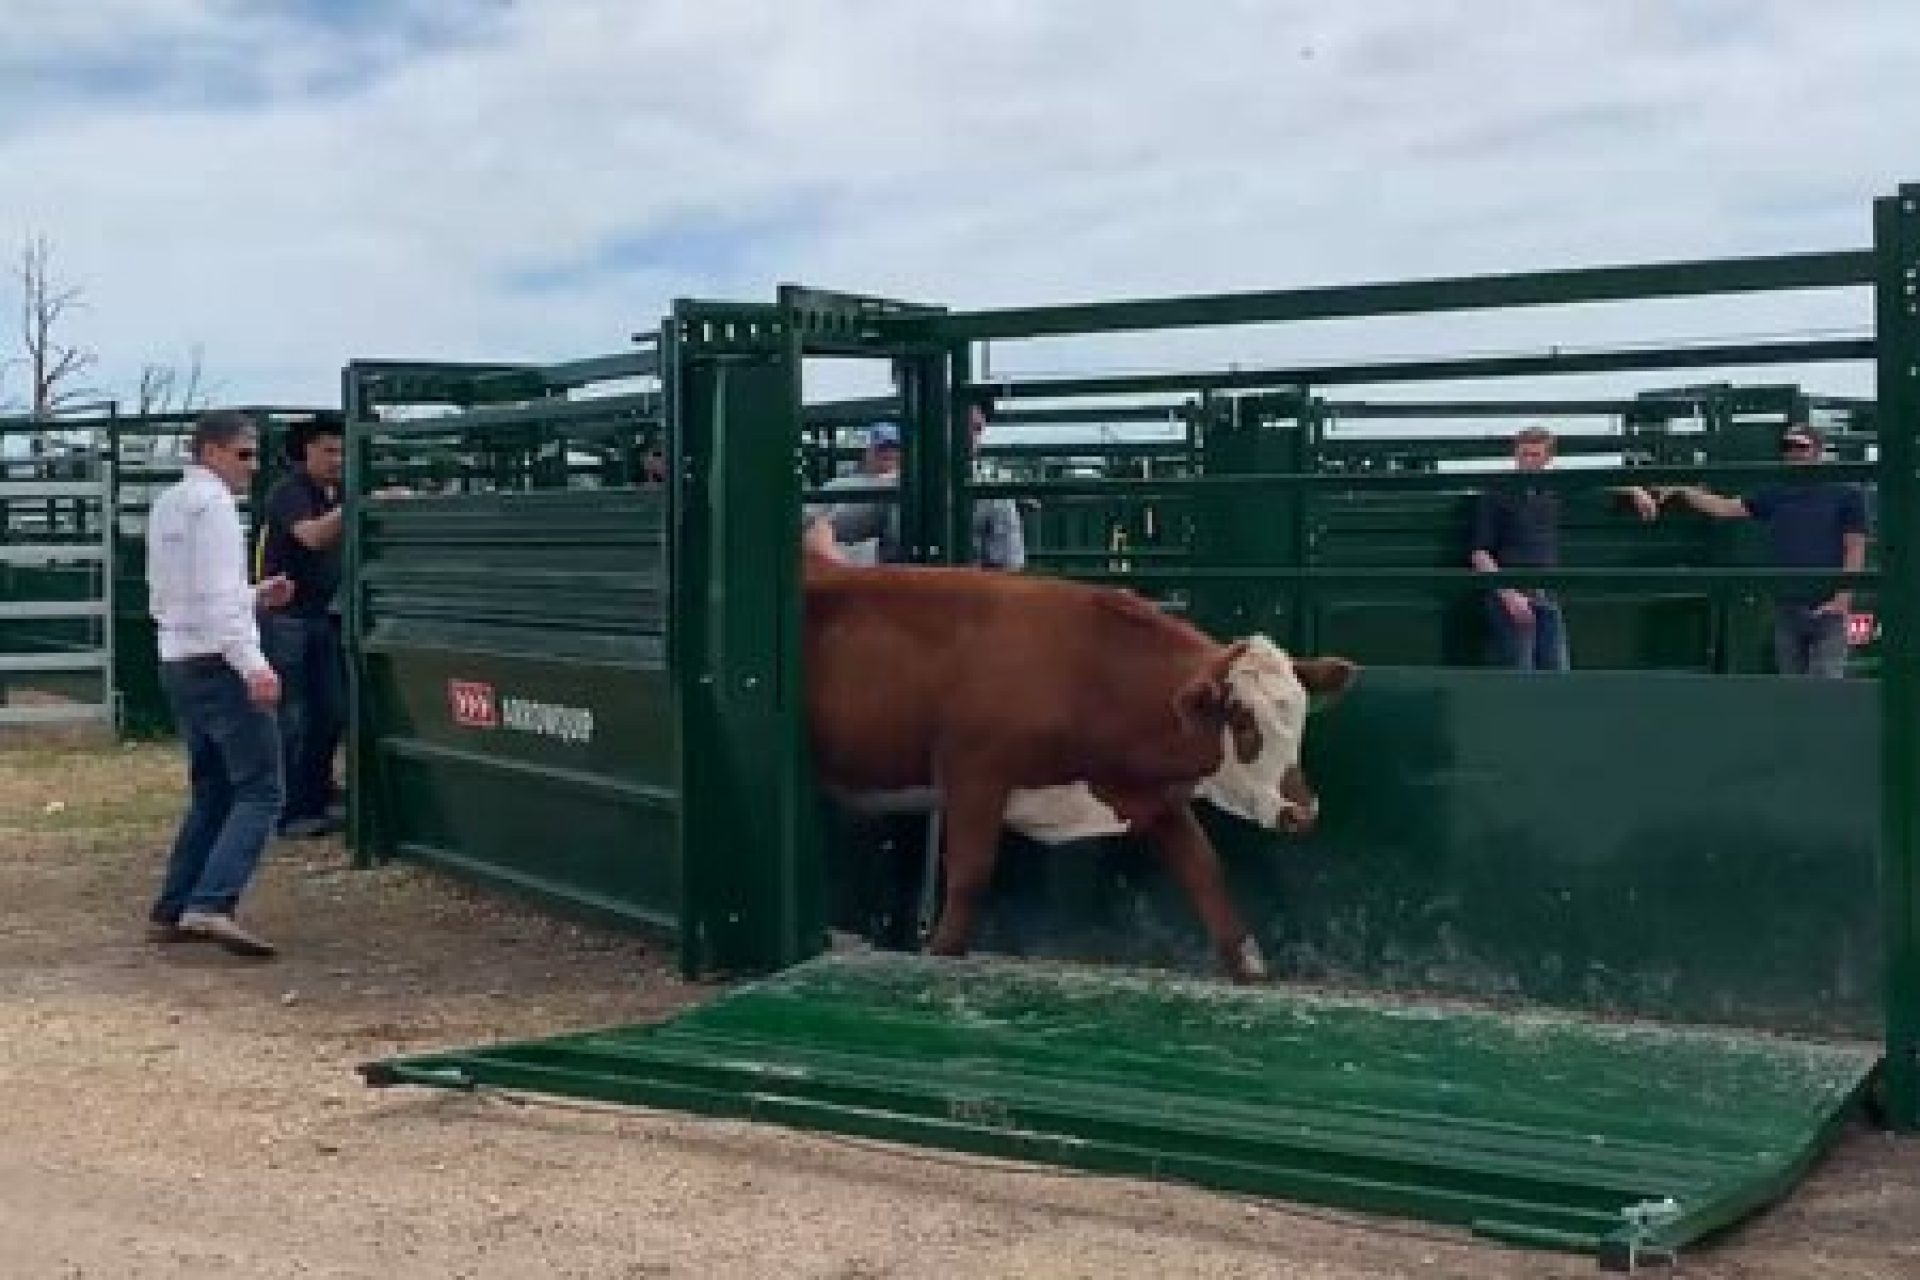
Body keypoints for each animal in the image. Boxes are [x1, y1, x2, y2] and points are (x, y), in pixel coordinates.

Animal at [802, 545, 1359, 990]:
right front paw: (941, 953)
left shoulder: (1153, 798)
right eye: (1244, 724)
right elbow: (968, 877)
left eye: (1300, 719)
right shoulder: (975, 776)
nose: (1301, 812)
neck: (1082, 671)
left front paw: (1249, 969)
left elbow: (1205, 874)